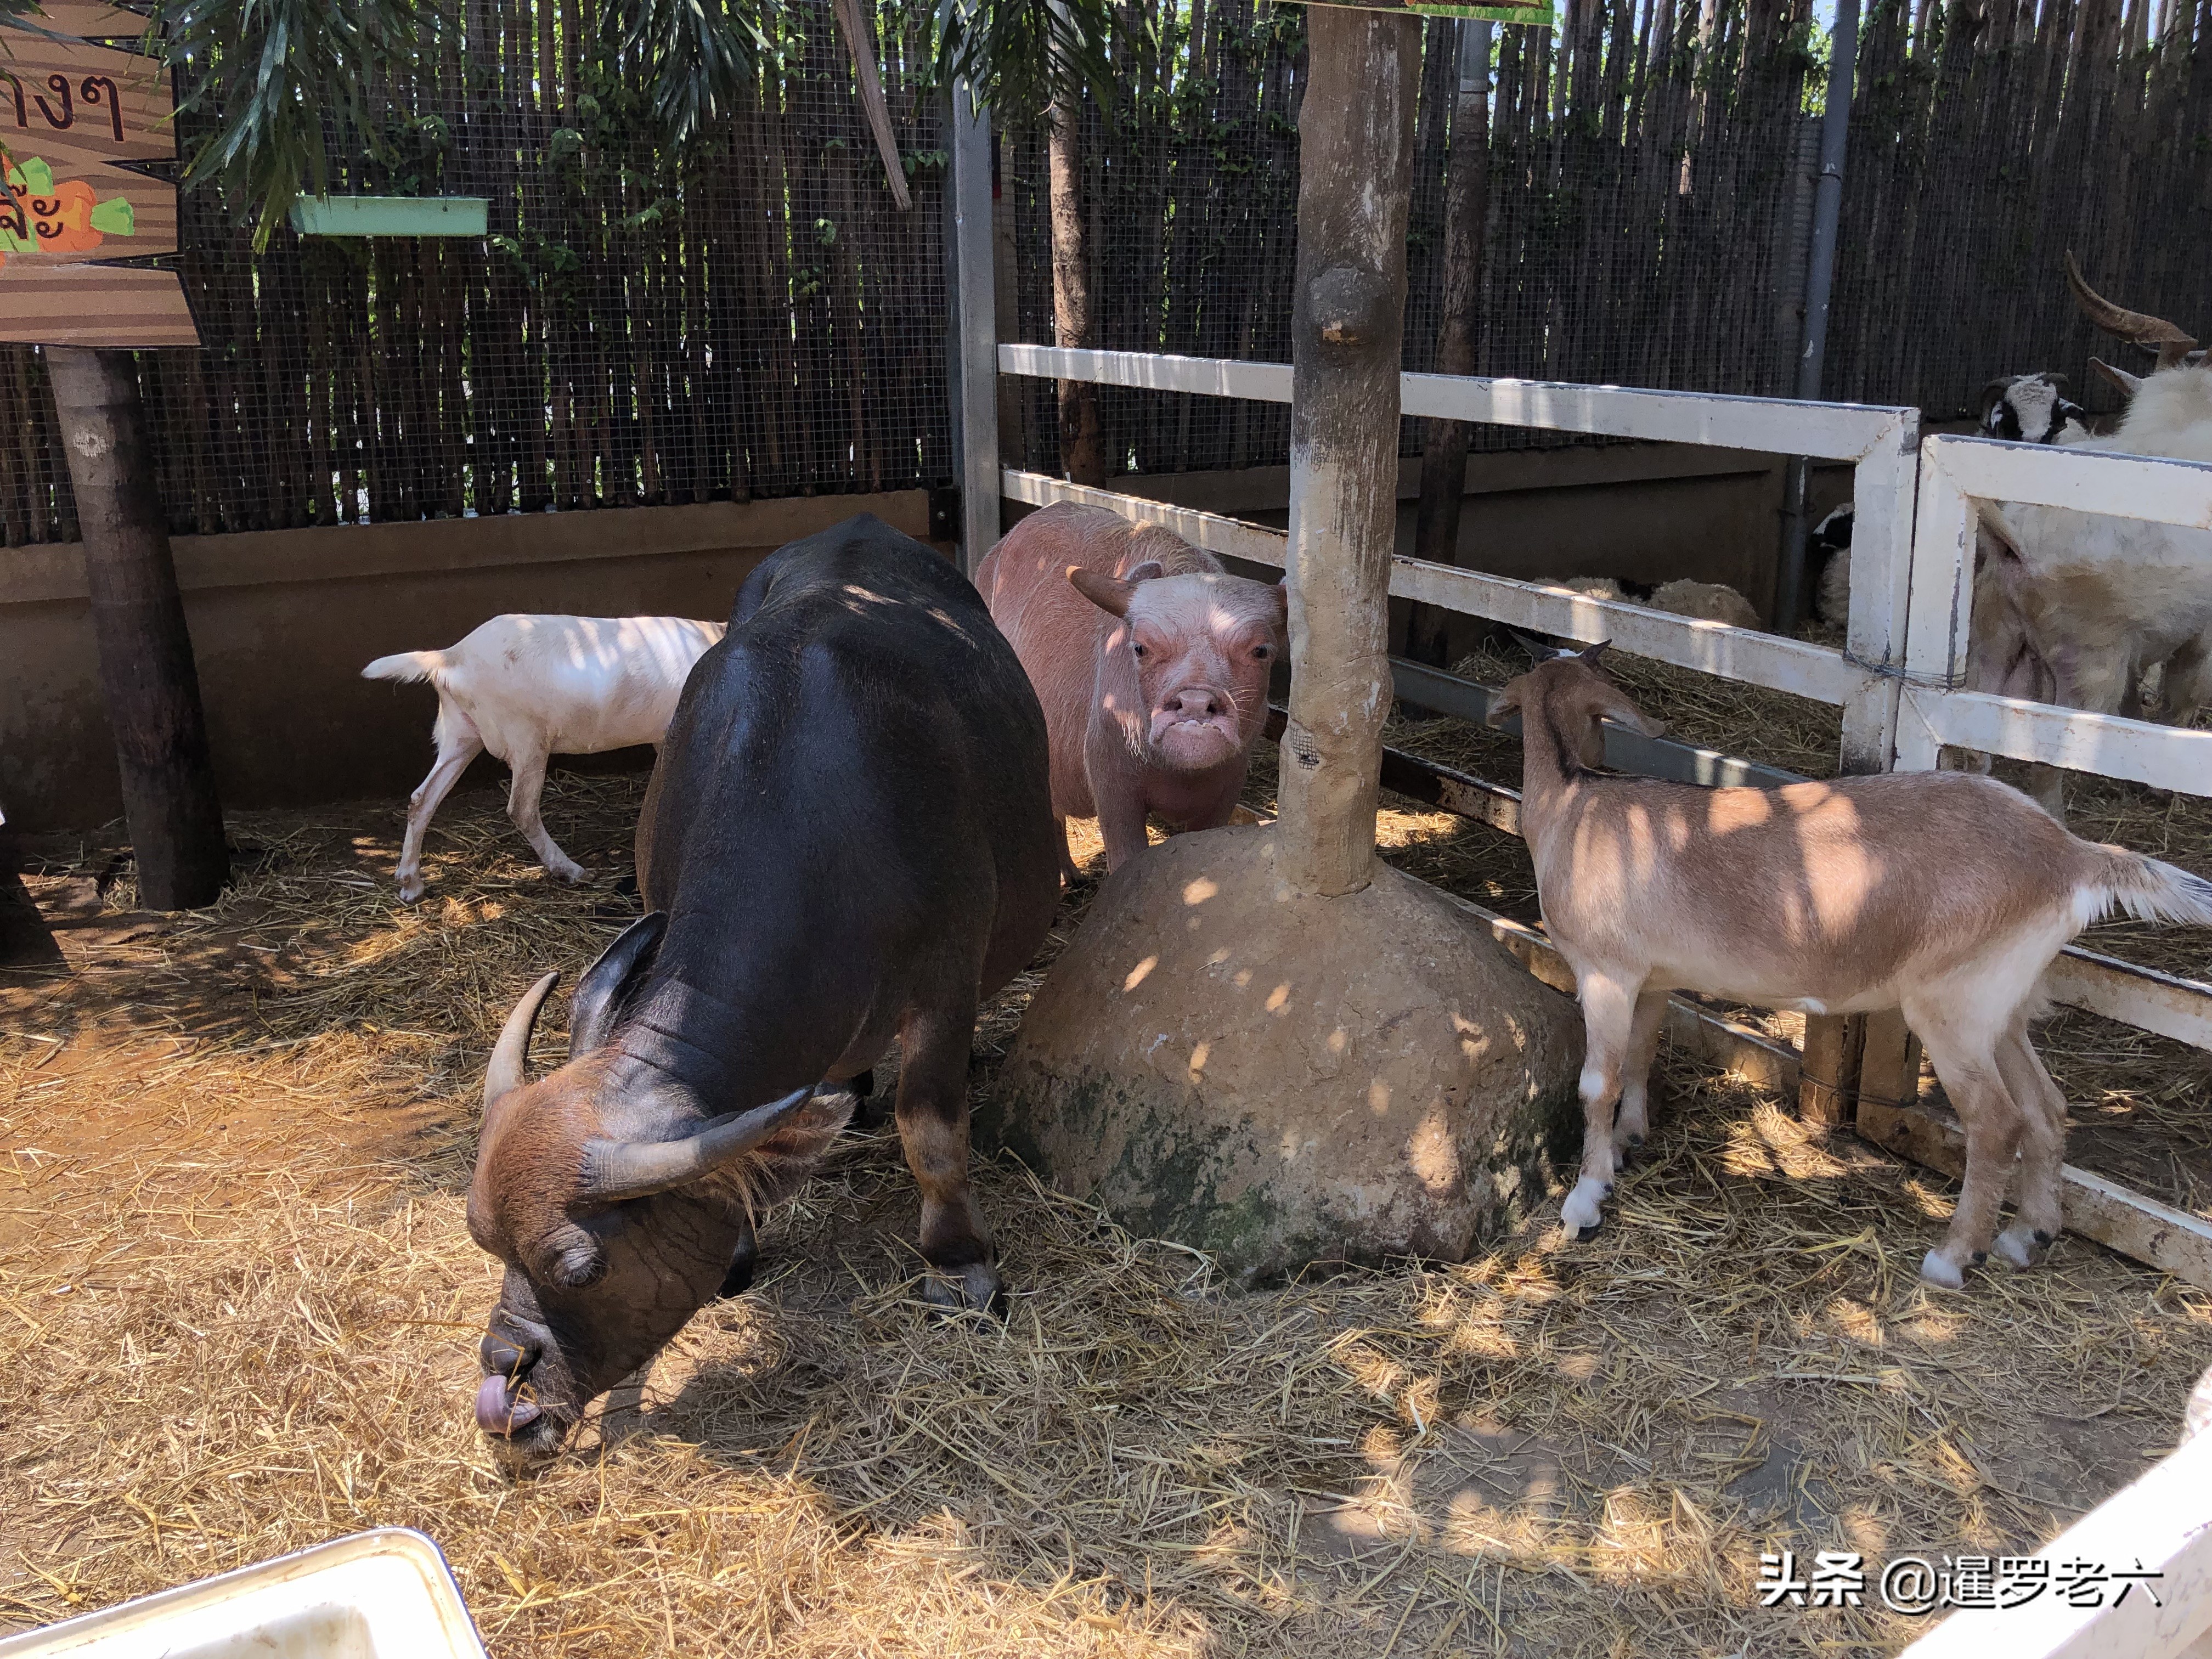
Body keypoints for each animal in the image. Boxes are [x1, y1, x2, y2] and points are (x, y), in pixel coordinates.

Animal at [363, 614, 725, 902]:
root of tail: (452, 656)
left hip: (461, 733)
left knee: (422, 799)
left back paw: (411, 884)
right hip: (525, 738)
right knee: (521, 808)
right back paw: (571, 870)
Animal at [978, 500, 1291, 876]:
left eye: (1261, 650)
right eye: (1140, 648)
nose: (1195, 701)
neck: (1178, 774)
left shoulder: (1227, 788)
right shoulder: (1110, 779)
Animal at [1486, 641, 2212, 1291]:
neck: (1575, 805)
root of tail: (2071, 856)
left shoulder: (1604, 974)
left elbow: (1597, 1083)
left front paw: (1586, 1200)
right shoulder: (1652, 978)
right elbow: (1640, 1055)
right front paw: (1627, 1145)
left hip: (1951, 1008)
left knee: (1996, 1123)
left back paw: (1954, 1259)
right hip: (2001, 1003)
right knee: (2045, 1107)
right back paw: (2026, 1236)